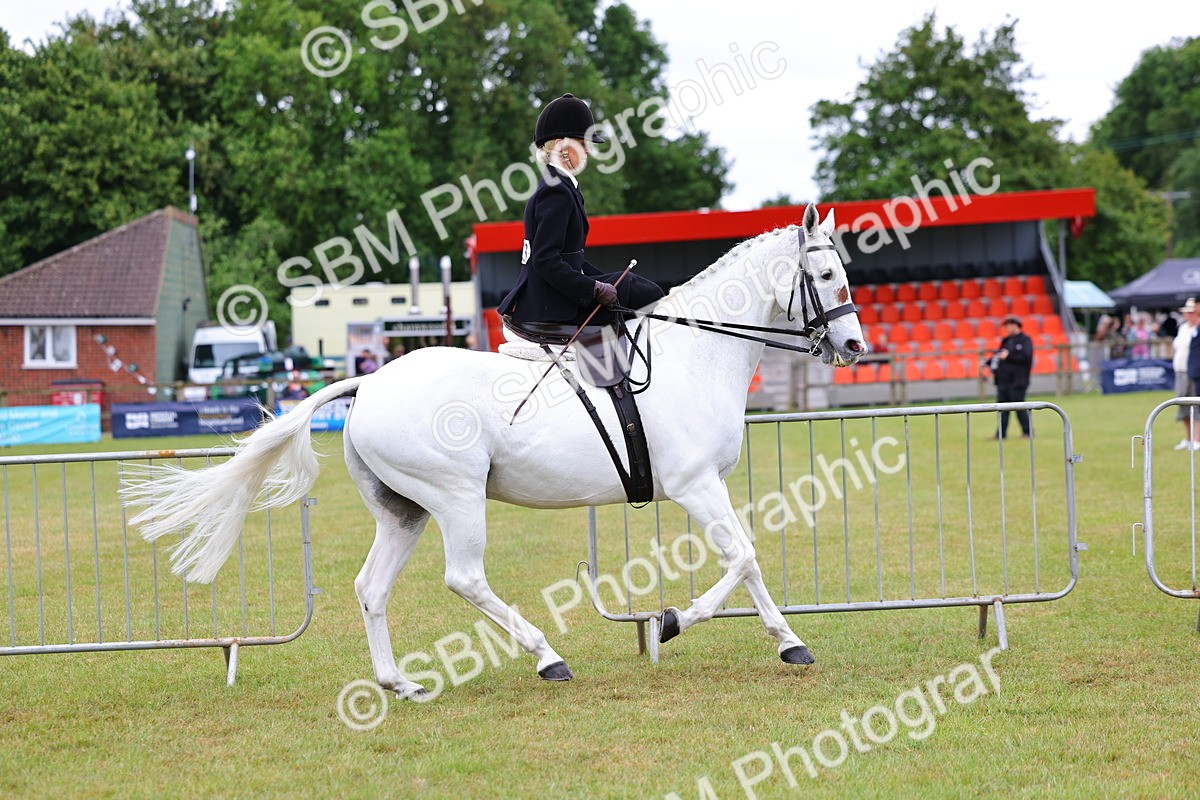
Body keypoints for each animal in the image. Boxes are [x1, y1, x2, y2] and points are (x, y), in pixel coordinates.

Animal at [121, 203, 866, 698]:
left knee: (371, 587)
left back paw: (397, 682)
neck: (695, 353)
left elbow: (749, 560)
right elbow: (742, 556)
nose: (856, 346)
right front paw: (670, 621)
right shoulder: (693, 483)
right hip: (454, 497)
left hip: (404, 509)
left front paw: (790, 643)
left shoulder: (708, 484)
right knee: (465, 578)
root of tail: (371, 380)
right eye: (828, 275)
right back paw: (547, 656)